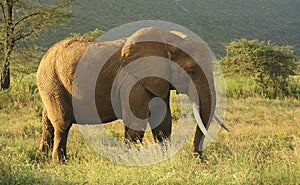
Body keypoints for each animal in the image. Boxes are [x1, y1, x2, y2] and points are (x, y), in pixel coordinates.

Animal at [36, 27, 224, 163]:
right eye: (191, 71)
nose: (198, 158)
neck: (168, 41)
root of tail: (45, 55)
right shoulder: (133, 82)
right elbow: (136, 122)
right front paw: (130, 162)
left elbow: (163, 122)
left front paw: (164, 160)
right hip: (52, 80)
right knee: (63, 123)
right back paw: (59, 163)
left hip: (50, 82)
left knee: (48, 122)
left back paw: (41, 158)